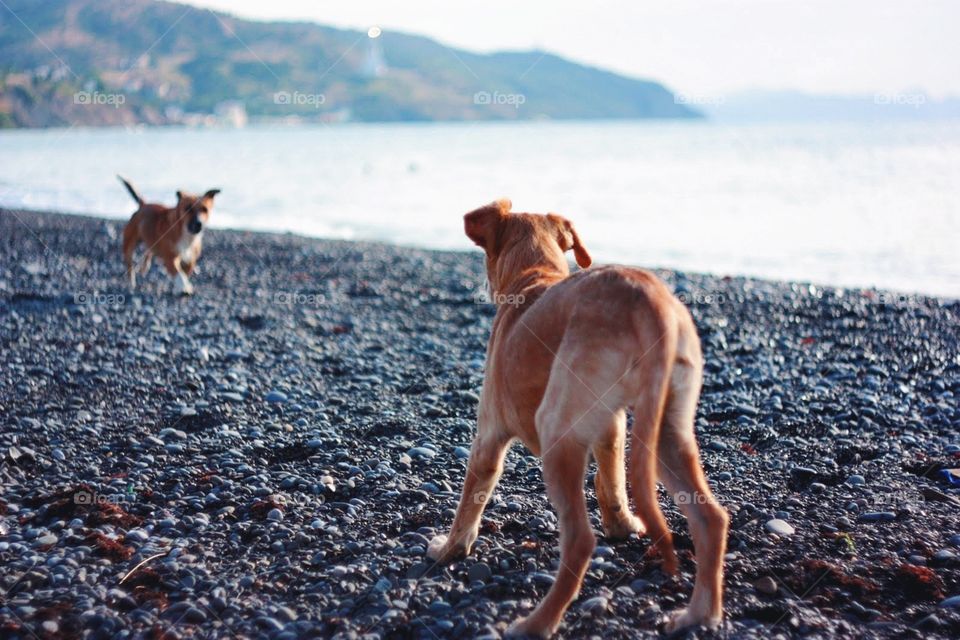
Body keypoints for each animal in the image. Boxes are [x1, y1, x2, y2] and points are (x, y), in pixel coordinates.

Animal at [428, 199, 728, 636]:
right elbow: (612, 482)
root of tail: (648, 300)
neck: (533, 277)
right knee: (711, 517)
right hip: (667, 428)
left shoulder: (487, 436)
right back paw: (699, 614)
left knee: (580, 541)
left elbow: (470, 502)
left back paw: (536, 623)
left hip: (556, 428)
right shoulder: (611, 427)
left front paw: (450, 549)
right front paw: (623, 525)